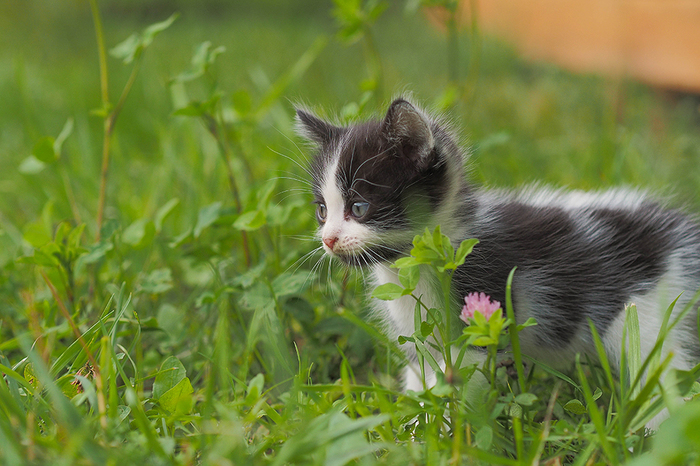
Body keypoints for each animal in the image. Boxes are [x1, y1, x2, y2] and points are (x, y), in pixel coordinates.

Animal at [296, 97, 700, 404]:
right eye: (322, 211)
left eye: (359, 207)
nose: (328, 239)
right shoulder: (418, 338)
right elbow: (421, 377)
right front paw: (411, 427)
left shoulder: (484, 303)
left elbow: (463, 382)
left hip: (654, 307)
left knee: (666, 370)